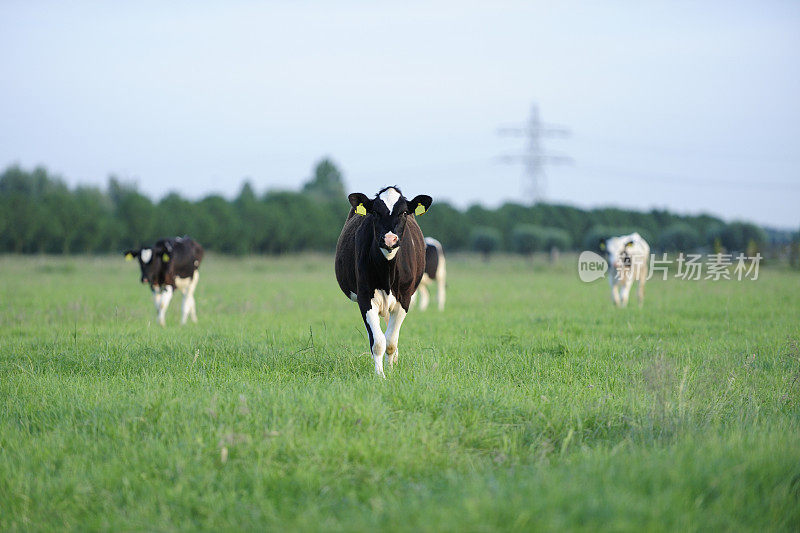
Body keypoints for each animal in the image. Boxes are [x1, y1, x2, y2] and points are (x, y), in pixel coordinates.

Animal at [334, 185, 434, 376]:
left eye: (404, 212)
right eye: (375, 212)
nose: (389, 239)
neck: (387, 272)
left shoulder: (404, 299)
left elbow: (391, 342)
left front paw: (391, 369)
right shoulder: (365, 298)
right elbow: (378, 342)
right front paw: (380, 375)